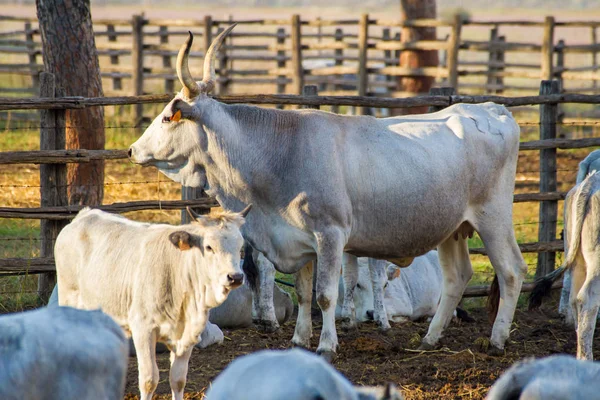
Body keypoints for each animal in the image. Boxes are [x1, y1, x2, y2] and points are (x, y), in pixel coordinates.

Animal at [52, 206, 248, 400]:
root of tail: (85, 214)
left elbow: (178, 379)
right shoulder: (143, 329)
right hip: (69, 301)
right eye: (209, 247)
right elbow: (149, 380)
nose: (235, 277)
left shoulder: (189, 334)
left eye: (241, 247)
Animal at [130, 23, 524, 360]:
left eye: (166, 117)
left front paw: (326, 345)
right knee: (457, 277)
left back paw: (497, 340)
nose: (133, 150)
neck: (279, 153)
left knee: (511, 271)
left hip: (494, 218)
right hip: (452, 228)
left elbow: (325, 295)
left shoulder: (331, 234)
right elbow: (304, 294)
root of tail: (492, 109)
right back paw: (429, 338)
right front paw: (299, 339)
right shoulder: (299, 240)